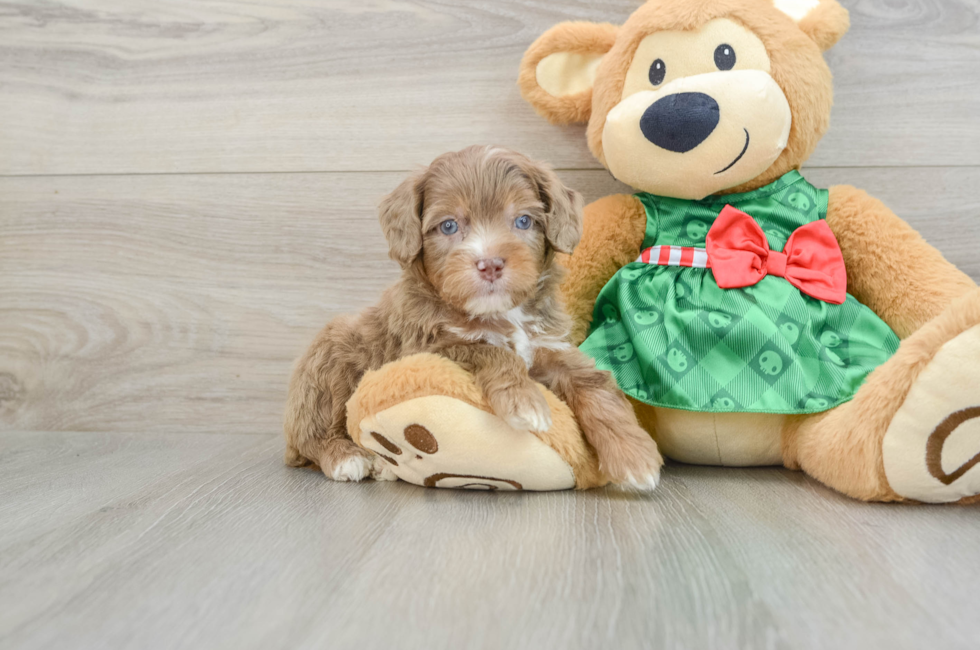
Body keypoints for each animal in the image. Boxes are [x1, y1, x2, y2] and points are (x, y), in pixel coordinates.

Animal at [286, 147, 668, 488]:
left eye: (523, 220)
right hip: (329, 359)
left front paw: (635, 457)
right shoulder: (429, 346)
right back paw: (347, 457)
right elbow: (491, 351)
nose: (491, 263)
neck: (501, 312)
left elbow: (596, 387)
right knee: (313, 434)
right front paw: (525, 402)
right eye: (448, 226)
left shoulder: (551, 347)